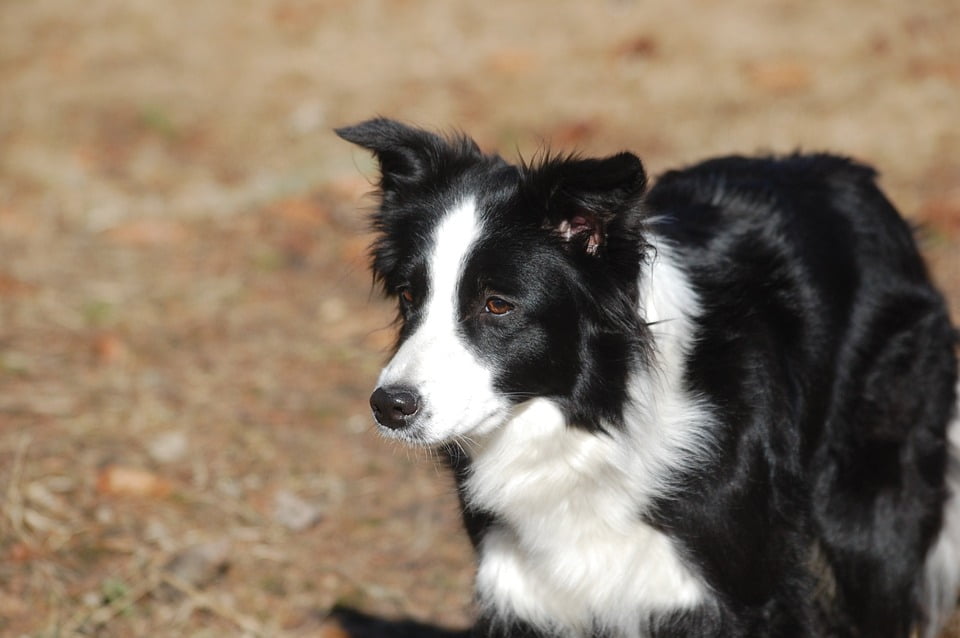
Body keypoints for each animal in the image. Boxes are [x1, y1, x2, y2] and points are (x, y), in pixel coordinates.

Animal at [338, 117, 960, 636]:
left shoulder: (742, 595)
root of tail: (855, 178)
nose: (388, 406)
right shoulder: (527, 592)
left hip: (869, 515)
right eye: (409, 296)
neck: (590, 427)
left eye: (497, 305)